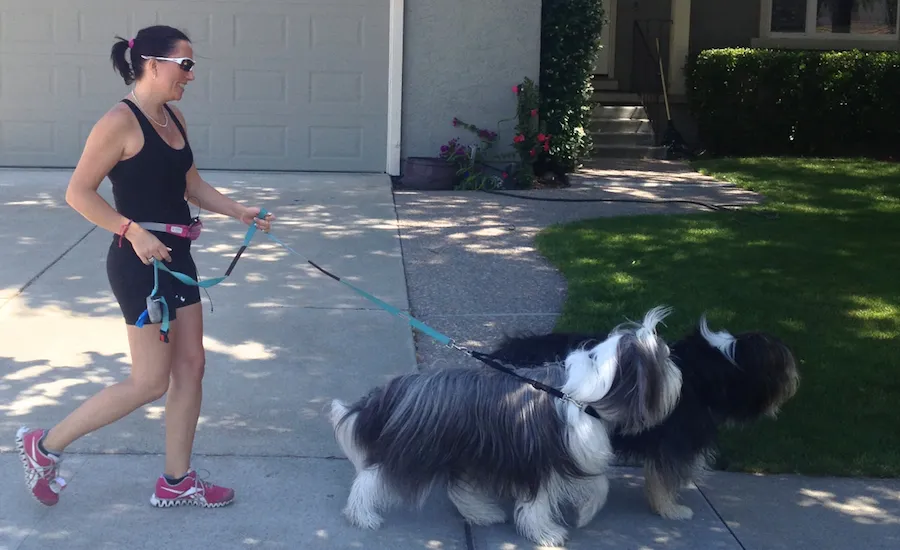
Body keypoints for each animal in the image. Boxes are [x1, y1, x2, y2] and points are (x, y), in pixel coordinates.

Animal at [328, 306, 684, 548]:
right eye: (664, 359)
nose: (679, 374)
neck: (588, 392)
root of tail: (398, 389)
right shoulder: (540, 461)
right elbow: (540, 503)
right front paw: (548, 533)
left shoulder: (575, 456)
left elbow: (599, 486)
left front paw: (584, 514)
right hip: (416, 450)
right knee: (372, 478)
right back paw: (363, 515)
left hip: (465, 452)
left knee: (459, 489)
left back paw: (483, 514)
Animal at [488, 314, 804, 520]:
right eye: (784, 365)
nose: (795, 381)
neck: (713, 368)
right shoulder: (673, 440)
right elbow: (662, 478)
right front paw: (671, 510)